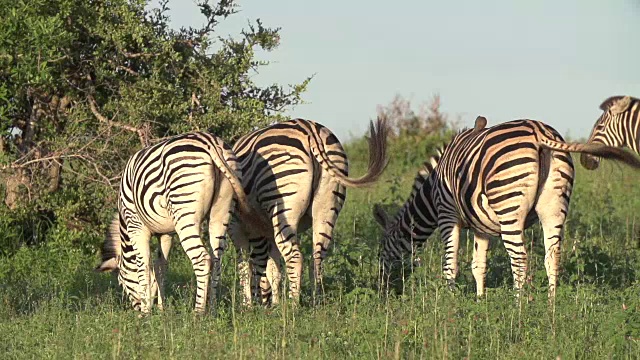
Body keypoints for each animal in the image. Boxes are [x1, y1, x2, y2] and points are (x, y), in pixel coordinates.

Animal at [94, 131, 264, 314]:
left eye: (122, 282)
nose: (137, 309)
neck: (124, 227)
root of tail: (210, 142)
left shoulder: (136, 227)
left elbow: (143, 267)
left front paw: (147, 312)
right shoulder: (165, 234)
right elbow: (160, 268)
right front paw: (161, 309)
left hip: (185, 213)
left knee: (202, 259)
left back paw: (198, 312)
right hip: (221, 211)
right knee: (217, 260)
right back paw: (212, 309)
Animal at [372, 116, 640, 296]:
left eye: (382, 248)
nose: (383, 286)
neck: (430, 194)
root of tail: (538, 131)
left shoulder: (447, 214)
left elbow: (451, 265)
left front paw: (449, 302)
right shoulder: (481, 227)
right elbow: (478, 266)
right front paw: (479, 302)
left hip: (509, 207)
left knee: (520, 260)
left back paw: (517, 310)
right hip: (554, 207)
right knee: (552, 257)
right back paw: (552, 309)